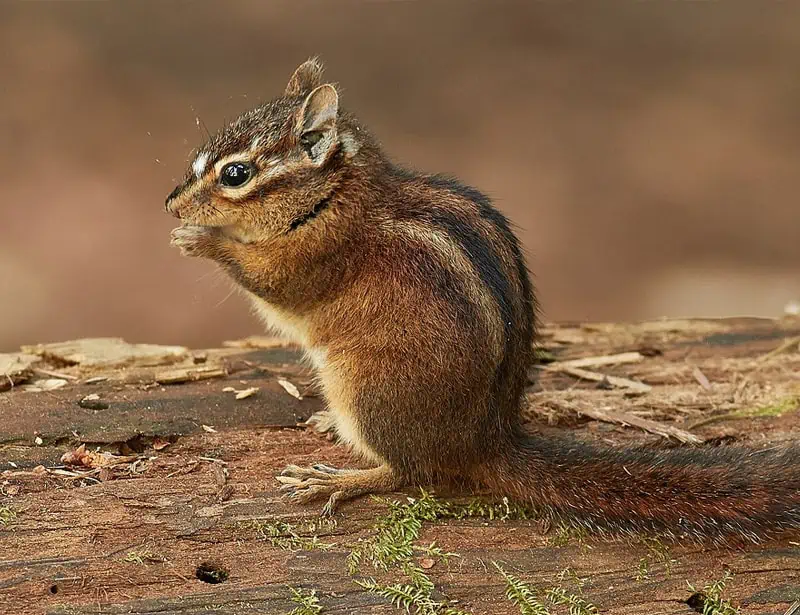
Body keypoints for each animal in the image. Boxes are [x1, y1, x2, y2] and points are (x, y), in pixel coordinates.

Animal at [166, 58, 800, 542]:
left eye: (237, 174)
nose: (170, 203)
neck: (337, 195)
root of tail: (483, 441)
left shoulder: (313, 258)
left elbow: (272, 284)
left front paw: (202, 241)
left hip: (368, 389)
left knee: (407, 473)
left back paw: (340, 480)